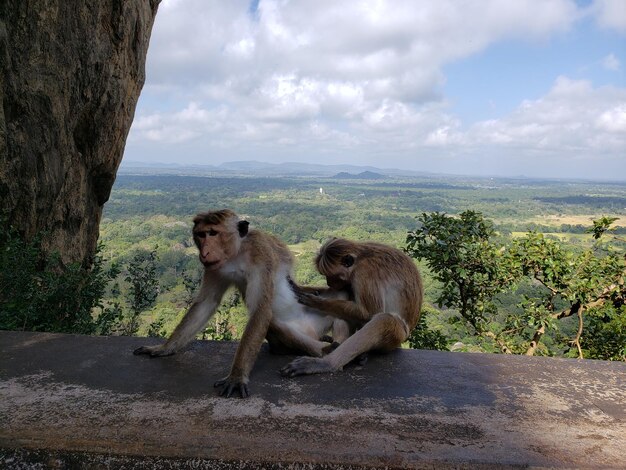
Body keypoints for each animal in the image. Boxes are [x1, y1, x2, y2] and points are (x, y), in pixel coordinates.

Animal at [134, 209, 346, 396]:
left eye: (213, 233)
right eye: (201, 235)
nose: (205, 251)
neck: (236, 253)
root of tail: (312, 333)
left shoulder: (260, 253)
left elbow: (260, 308)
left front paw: (236, 377)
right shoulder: (215, 267)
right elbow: (207, 303)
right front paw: (164, 348)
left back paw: (327, 348)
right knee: (276, 324)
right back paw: (321, 348)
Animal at [280, 239, 422, 378]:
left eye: (331, 276)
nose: (329, 282)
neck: (360, 257)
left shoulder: (364, 274)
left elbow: (370, 313)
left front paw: (317, 302)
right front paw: (298, 288)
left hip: (396, 338)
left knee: (383, 320)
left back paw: (327, 363)